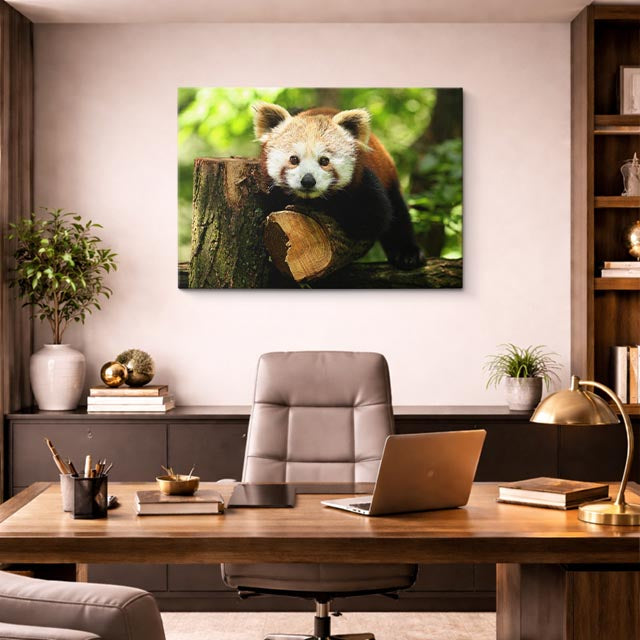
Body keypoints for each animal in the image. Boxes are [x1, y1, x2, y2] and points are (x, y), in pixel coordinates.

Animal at [253, 102, 426, 270]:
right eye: (294, 159)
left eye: (324, 160)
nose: (308, 180)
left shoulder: (366, 185)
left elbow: (372, 219)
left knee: (398, 213)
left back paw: (407, 254)